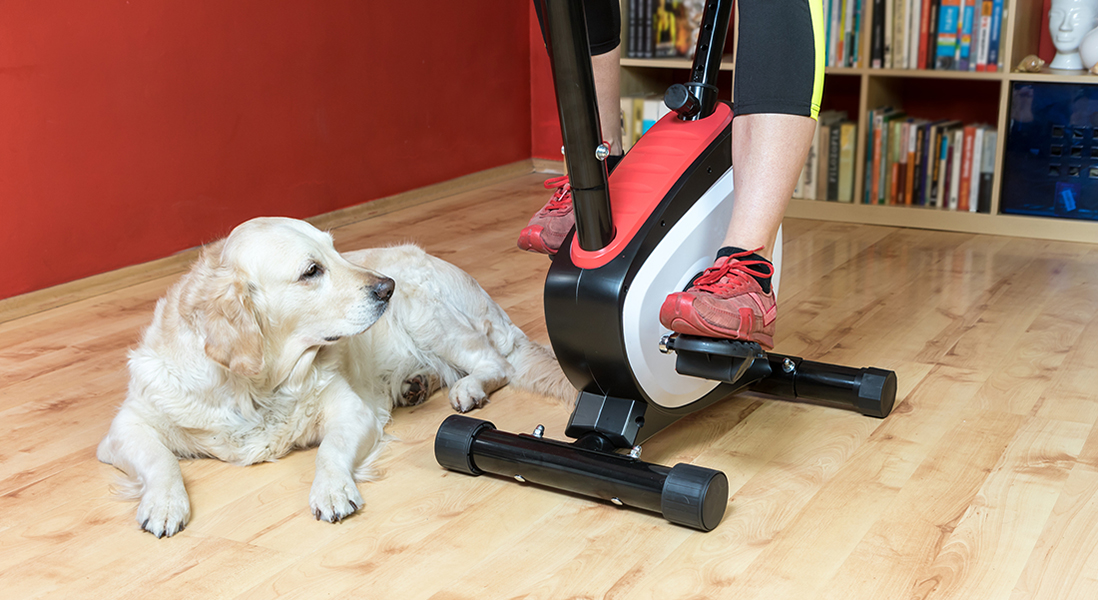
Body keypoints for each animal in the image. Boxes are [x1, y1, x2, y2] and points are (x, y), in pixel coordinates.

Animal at [97, 217, 570, 534]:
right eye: (311, 270)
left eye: (335, 250)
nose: (386, 288)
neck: (257, 386)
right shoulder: (127, 425)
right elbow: (159, 459)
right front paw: (164, 504)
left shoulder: (352, 411)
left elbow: (331, 450)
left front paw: (331, 490)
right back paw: (415, 384)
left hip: (426, 312)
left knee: (494, 364)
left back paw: (467, 388)